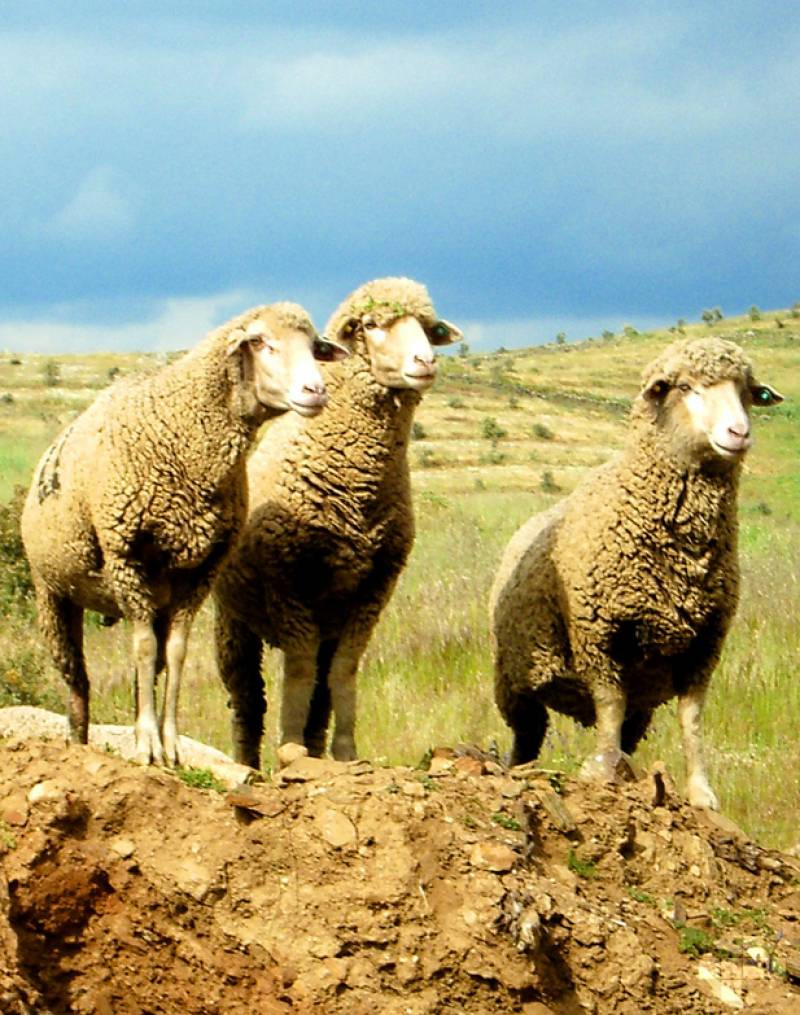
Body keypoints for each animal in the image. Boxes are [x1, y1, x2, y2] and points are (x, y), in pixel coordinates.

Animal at [21, 300, 347, 763]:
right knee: (77, 679)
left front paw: (169, 743)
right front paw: (146, 745)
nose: (315, 391)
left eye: (314, 346)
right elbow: (141, 648)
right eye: (260, 342)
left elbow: (175, 652)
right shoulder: (127, 557)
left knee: (143, 666)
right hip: (52, 591)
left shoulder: (199, 573)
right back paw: (79, 745)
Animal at [212, 274, 462, 763]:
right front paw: (289, 748)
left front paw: (344, 751)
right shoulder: (286, 584)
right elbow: (299, 669)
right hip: (233, 619)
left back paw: (316, 747)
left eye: (428, 327)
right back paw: (249, 760)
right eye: (371, 324)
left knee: (321, 691)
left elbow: (343, 671)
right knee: (246, 697)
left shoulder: (373, 589)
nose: (425, 361)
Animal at [487, 339, 779, 807]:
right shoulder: (599, 636)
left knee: (627, 729)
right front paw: (605, 775)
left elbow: (691, 719)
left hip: (641, 702)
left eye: (747, 391)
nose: (739, 433)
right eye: (685, 387)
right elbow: (609, 706)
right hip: (516, 681)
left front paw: (701, 793)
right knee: (529, 733)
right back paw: (521, 770)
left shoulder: (704, 646)